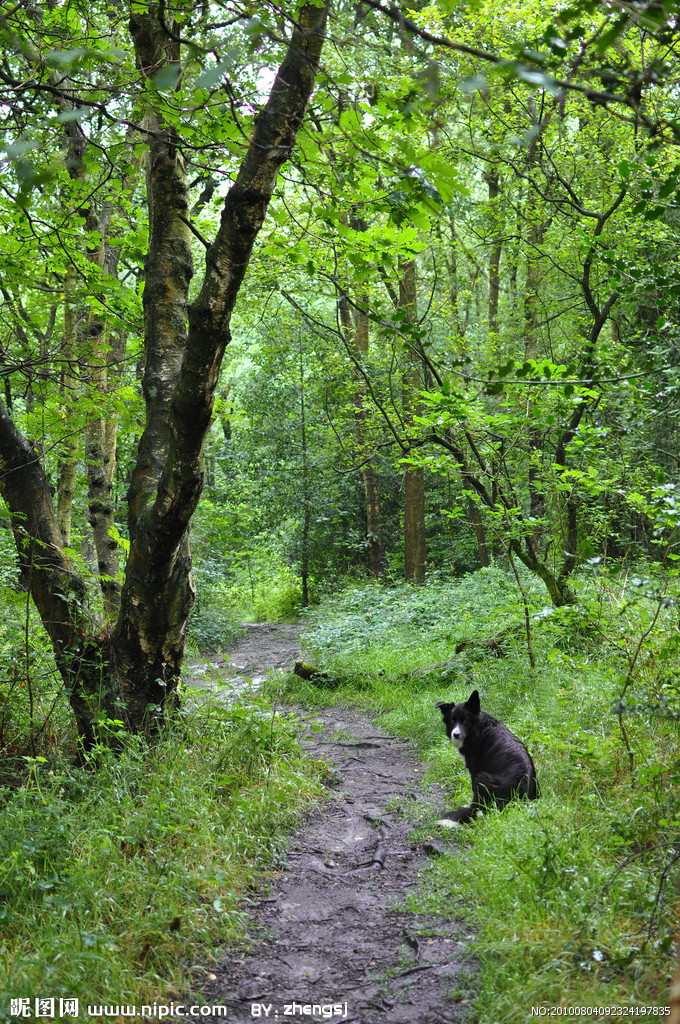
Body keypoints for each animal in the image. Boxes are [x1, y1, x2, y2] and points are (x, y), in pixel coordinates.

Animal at [436, 688, 536, 823]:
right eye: (452, 720)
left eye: (465, 721)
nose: (455, 735)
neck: (478, 728)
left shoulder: (474, 771)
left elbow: (473, 794)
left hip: (482, 778)